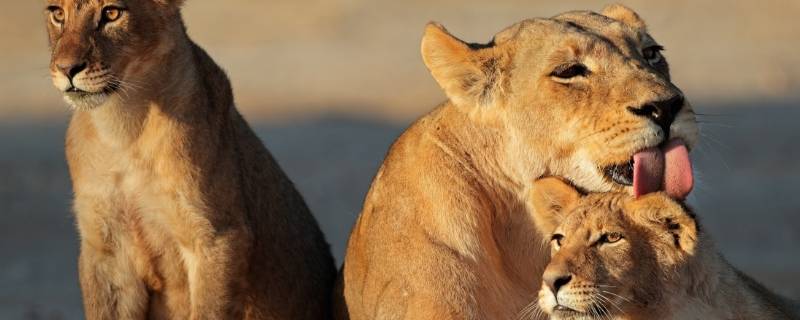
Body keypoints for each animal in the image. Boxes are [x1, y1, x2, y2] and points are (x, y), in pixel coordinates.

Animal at [44, 1, 334, 318]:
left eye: (112, 13)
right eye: (57, 13)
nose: (66, 69)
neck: (123, 129)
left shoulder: (216, 238)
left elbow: (208, 308)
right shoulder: (105, 249)